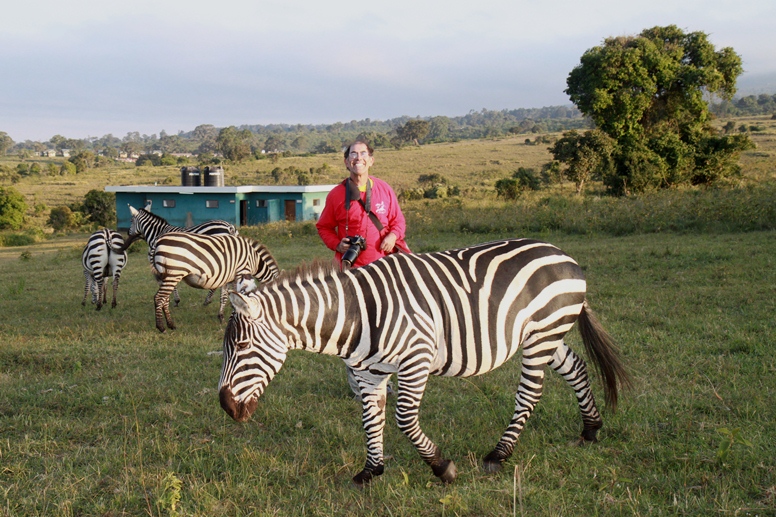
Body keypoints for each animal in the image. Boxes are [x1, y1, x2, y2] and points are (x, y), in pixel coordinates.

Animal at [150, 231, 280, 330]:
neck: (254, 259)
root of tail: (158, 241)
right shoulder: (241, 272)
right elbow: (238, 296)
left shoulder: (229, 278)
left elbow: (225, 297)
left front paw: (221, 317)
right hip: (174, 273)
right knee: (159, 298)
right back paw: (161, 327)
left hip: (164, 276)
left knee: (165, 299)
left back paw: (171, 325)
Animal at [218, 238, 632, 484]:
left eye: (242, 346)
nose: (226, 408)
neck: (356, 315)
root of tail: (564, 255)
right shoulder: (368, 374)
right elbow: (371, 419)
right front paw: (371, 471)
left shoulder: (416, 359)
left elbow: (403, 419)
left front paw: (442, 467)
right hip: (544, 335)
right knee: (576, 368)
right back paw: (591, 429)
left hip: (543, 334)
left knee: (529, 394)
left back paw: (499, 454)